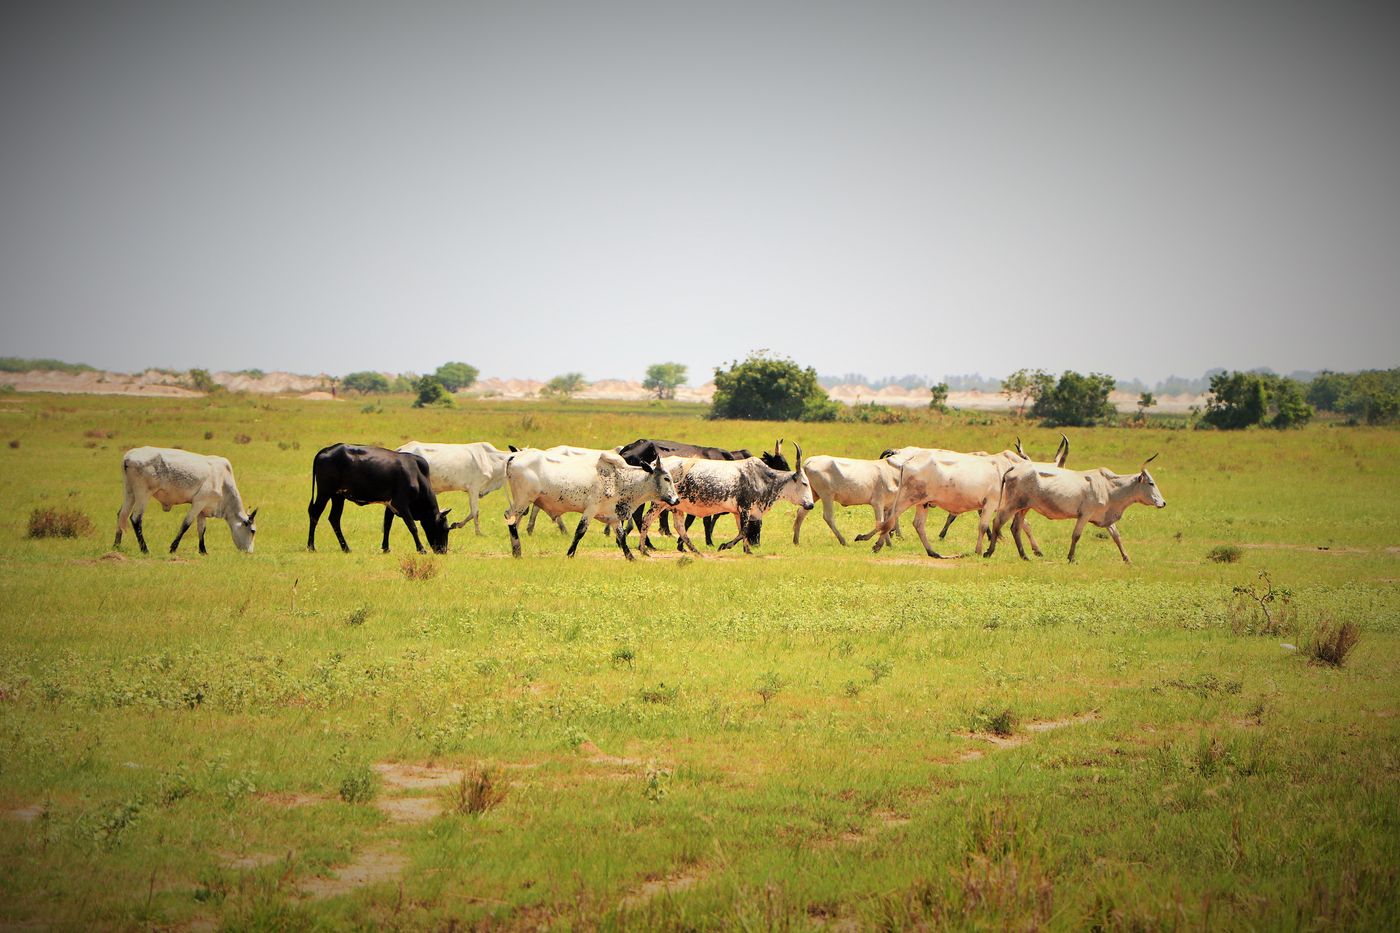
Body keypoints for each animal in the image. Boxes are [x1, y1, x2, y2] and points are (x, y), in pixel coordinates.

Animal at [114, 447, 258, 554]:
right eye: (252, 531)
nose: (249, 552)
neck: (223, 480)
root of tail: (128, 457)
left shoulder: (203, 509)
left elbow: (201, 529)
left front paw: (203, 551)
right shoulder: (198, 502)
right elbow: (186, 524)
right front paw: (173, 548)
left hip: (129, 493)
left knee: (121, 514)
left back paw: (116, 545)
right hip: (143, 494)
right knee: (135, 519)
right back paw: (145, 549)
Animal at [307, 444, 452, 554]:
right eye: (444, 529)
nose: (443, 551)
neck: (416, 475)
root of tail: (326, 450)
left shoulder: (390, 505)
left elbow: (387, 525)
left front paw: (386, 548)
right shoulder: (402, 504)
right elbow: (412, 527)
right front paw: (421, 549)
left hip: (338, 496)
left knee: (334, 519)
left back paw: (345, 548)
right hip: (324, 492)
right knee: (315, 513)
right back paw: (311, 546)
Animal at [502, 447, 679, 560]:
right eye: (666, 478)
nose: (676, 500)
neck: (619, 479)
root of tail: (515, 456)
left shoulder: (613, 516)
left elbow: (621, 536)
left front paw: (631, 557)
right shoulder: (591, 509)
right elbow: (580, 531)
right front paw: (570, 554)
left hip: (523, 502)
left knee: (514, 522)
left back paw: (516, 550)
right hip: (523, 500)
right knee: (511, 519)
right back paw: (517, 551)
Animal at [639, 447, 814, 555]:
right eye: (804, 483)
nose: (811, 504)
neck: (762, 478)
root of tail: (655, 464)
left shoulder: (739, 513)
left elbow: (742, 531)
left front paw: (748, 550)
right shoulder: (745, 508)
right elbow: (744, 531)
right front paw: (724, 546)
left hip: (676, 507)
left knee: (680, 527)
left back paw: (695, 551)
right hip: (659, 503)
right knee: (646, 520)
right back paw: (643, 549)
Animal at [985, 454, 1166, 564]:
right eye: (1151, 483)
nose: (1163, 503)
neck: (1109, 487)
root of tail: (1015, 468)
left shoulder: (1105, 517)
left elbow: (1116, 537)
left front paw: (1127, 558)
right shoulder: (1085, 515)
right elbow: (1076, 535)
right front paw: (1071, 557)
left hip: (1023, 508)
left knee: (1015, 528)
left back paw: (1024, 556)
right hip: (1012, 505)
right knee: (997, 522)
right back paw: (989, 551)